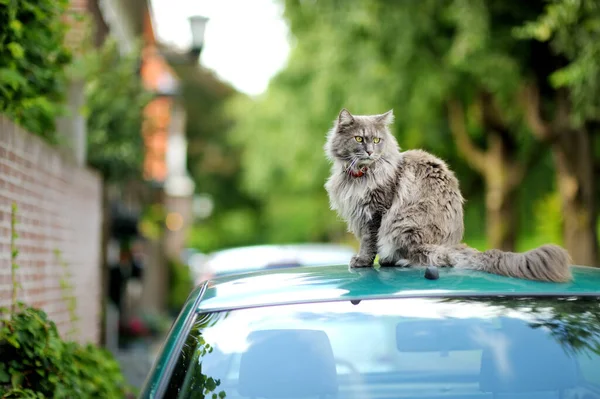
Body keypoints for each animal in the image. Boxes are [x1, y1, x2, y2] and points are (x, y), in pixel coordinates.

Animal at [324, 108, 572, 282]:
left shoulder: (376, 212)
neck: (360, 175)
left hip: (404, 225)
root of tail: (453, 243)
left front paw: (361, 261)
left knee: (429, 257)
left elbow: (369, 242)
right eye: (359, 139)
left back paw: (399, 261)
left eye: (376, 140)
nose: (370, 151)